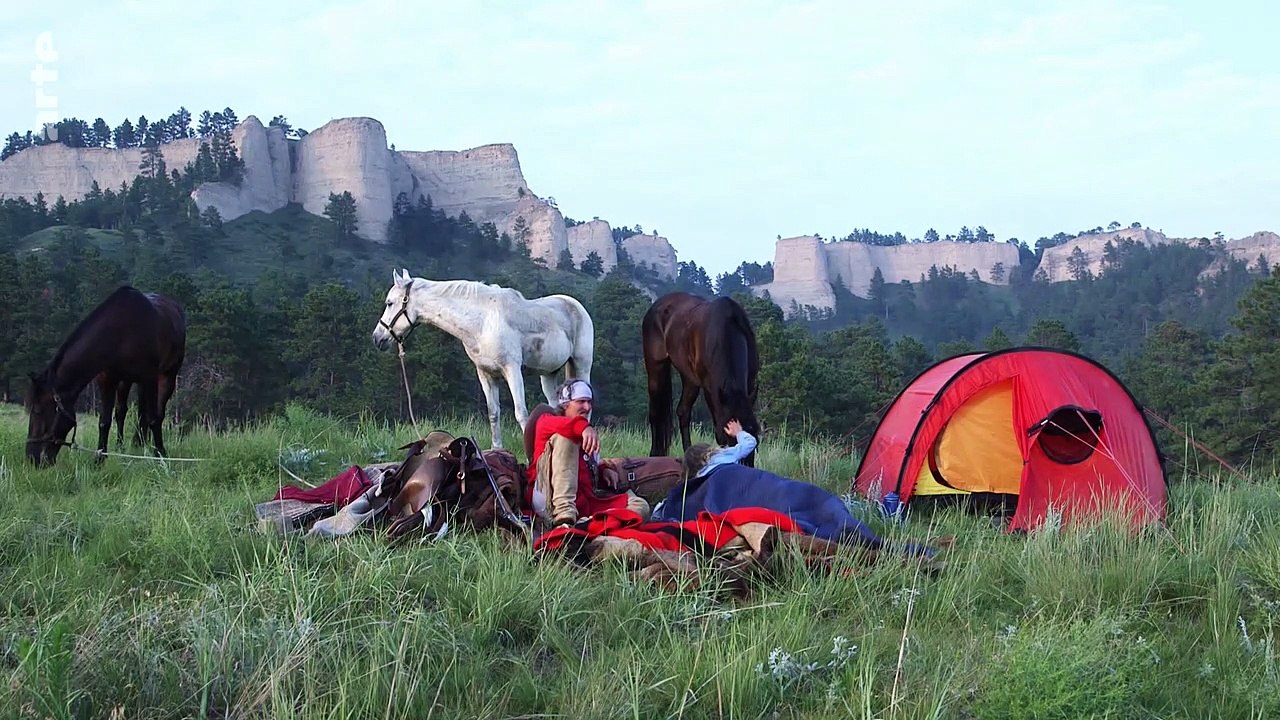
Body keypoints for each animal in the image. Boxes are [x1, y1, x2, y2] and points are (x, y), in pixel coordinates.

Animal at [25, 286, 186, 467]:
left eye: (37, 410)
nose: (32, 457)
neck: (120, 333)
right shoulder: (107, 380)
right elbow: (105, 421)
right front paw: (99, 459)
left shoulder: (149, 377)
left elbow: (153, 418)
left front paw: (160, 455)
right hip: (126, 381)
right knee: (122, 412)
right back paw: (127, 446)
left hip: (167, 376)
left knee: (157, 412)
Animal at [371, 268, 595, 450]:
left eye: (390, 303)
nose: (377, 338)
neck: (483, 322)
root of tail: (575, 305)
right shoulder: (486, 374)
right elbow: (493, 413)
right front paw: (497, 450)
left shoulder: (512, 370)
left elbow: (521, 413)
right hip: (548, 374)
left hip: (582, 365)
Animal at [642, 291, 761, 466]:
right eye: (727, 439)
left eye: (755, 437)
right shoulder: (710, 390)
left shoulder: (749, 385)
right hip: (656, 368)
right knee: (656, 412)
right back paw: (655, 454)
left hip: (689, 378)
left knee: (683, 412)